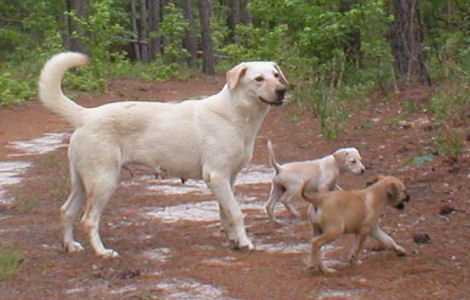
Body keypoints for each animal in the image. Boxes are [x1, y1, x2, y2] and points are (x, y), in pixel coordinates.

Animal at [38, 52, 288, 258]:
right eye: (259, 79)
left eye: (276, 75)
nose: (282, 91)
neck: (235, 115)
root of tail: (86, 115)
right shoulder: (216, 176)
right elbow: (236, 212)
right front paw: (245, 243)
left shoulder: (230, 178)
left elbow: (225, 213)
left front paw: (234, 240)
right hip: (103, 181)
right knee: (88, 220)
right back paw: (102, 252)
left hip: (83, 183)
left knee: (66, 211)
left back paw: (70, 246)